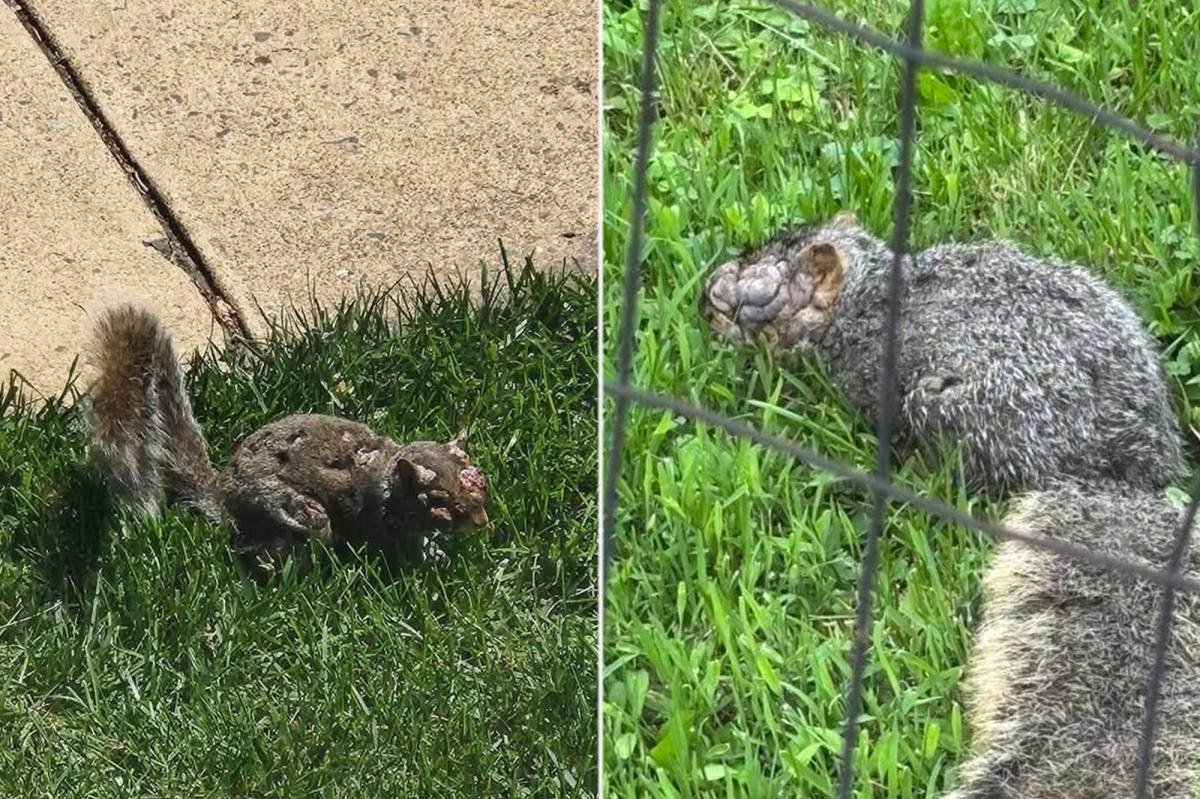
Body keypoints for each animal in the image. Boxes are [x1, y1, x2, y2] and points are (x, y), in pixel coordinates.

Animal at [86, 303, 490, 576]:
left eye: (480, 480)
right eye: (438, 502)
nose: (482, 521)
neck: (387, 471)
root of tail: (225, 498)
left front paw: (438, 550)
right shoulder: (379, 518)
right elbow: (396, 545)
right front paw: (425, 558)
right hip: (290, 509)